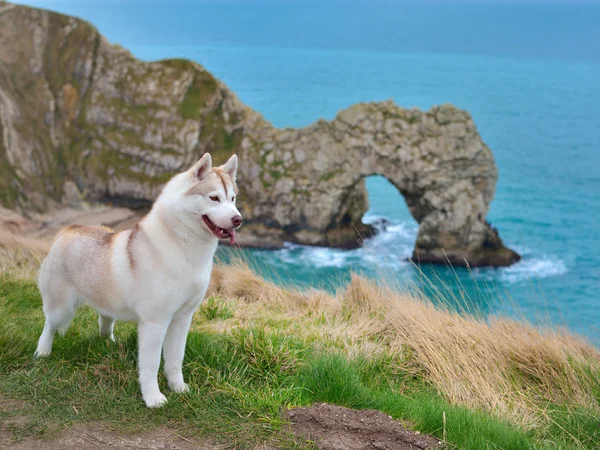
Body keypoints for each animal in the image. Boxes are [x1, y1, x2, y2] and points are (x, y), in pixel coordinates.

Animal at [35, 153, 240, 406]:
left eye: (233, 199)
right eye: (214, 198)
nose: (238, 219)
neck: (184, 248)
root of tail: (70, 228)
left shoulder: (182, 319)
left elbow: (175, 359)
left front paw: (178, 387)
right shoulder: (155, 323)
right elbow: (151, 365)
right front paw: (153, 398)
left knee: (105, 319)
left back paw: (107, 341)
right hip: (61, 308)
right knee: (49, 325)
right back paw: (43, 351)